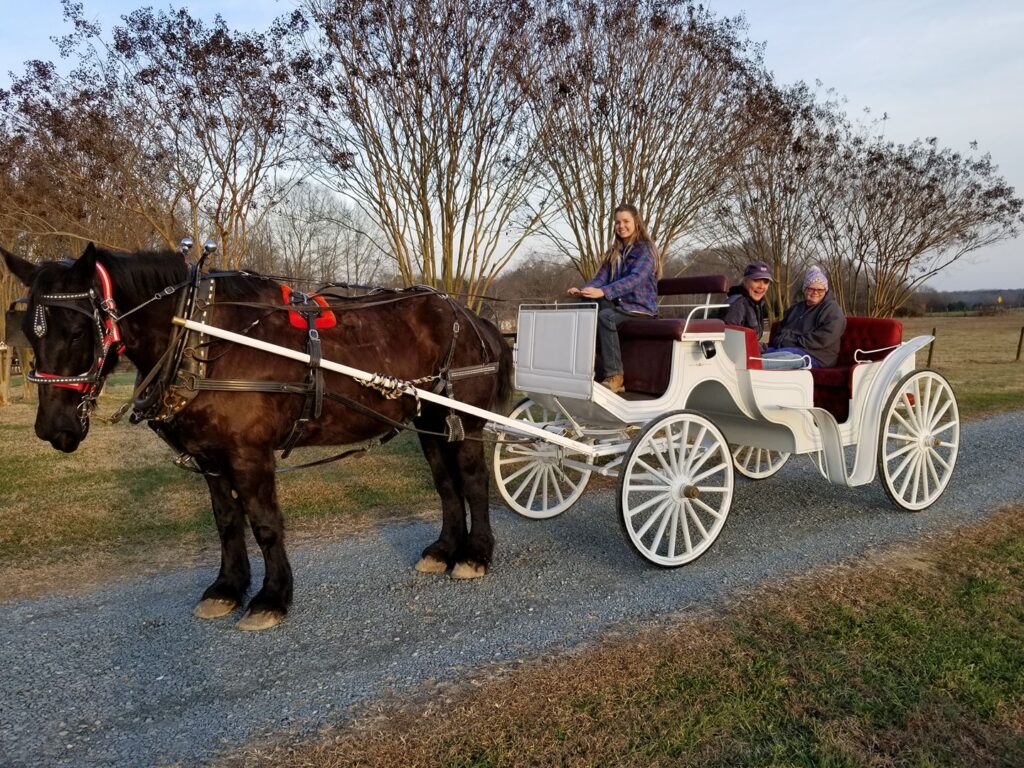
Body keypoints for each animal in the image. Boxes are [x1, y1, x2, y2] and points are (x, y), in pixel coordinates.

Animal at [1, 246, 512, 630]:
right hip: (431, 423)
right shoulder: (210, 458)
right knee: (446, 485)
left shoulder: (249, 455)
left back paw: (475, 555)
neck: (203, 336)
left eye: (77, 329)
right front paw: (227, 588)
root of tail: (473, 317)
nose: (54, 428)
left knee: (472, 483)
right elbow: (227, 522)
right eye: (28, 331)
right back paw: (445, 550)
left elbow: (265, 524)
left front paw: (271, 597)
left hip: (465, 423)